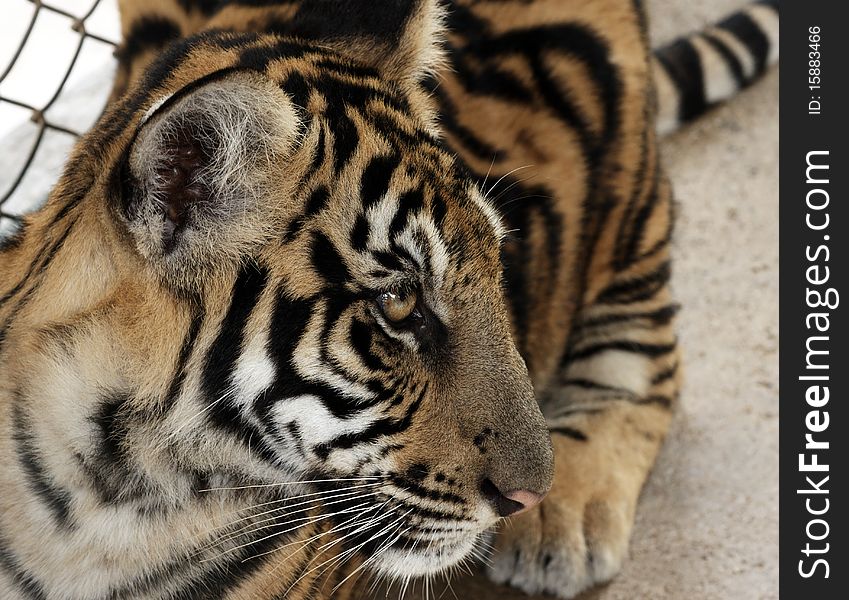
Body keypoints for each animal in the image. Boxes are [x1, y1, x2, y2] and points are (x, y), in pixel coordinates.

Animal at [0, 0, 780, 596]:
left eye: (495, 268)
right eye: (400, 304)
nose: (525, 495)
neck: (94, 498)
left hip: (633, 242)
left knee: (647, 367)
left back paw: (562, 526)